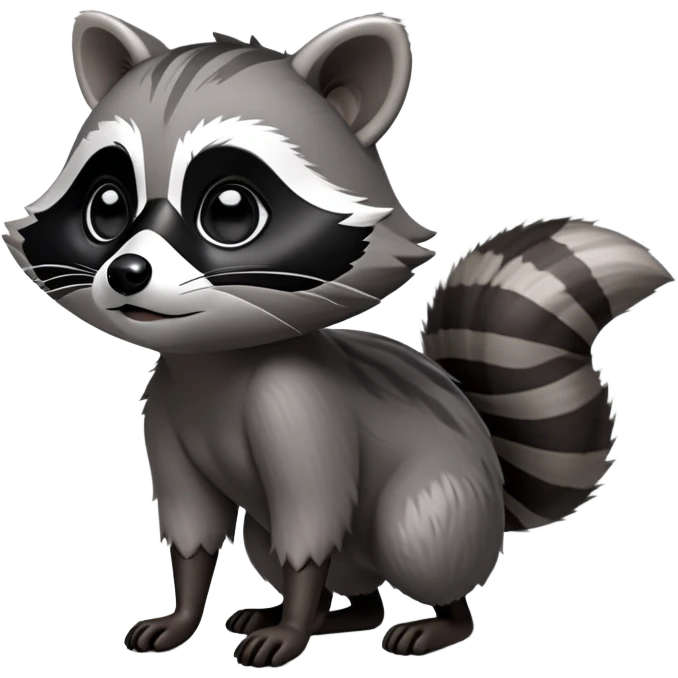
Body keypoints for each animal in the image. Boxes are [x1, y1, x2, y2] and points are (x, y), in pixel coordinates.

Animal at [3, 10, 674, 667]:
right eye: (106, 207)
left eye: (230, 211)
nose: (127, 273)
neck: (214, 361)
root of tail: (492, 469)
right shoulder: (162, 406)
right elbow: (192, 523)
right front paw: (187, 611)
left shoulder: (301, 405)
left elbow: (311, 518)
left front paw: (294, 622)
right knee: (300, 558)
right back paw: (341, 612)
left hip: (442, 499)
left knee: (415, 535)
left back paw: (438, 619)